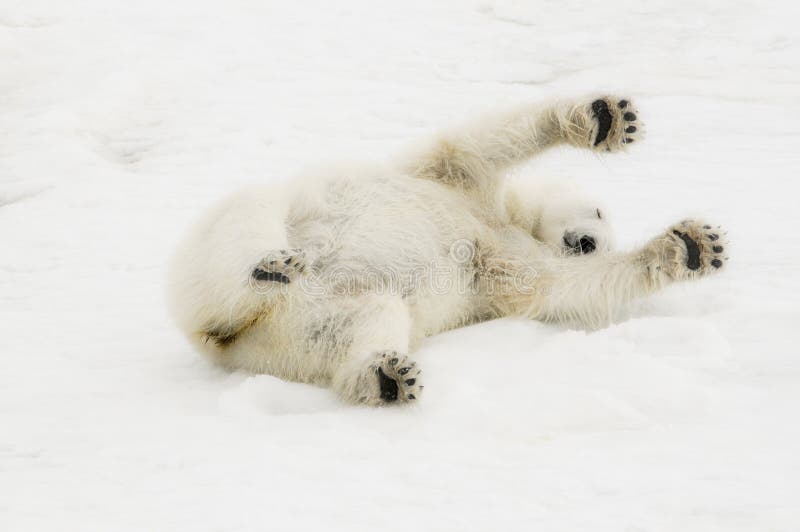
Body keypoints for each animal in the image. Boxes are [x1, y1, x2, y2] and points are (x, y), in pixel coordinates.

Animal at [169, 94, 732, 404]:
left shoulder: (503, 265)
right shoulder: (449, 178)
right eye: (596, 213)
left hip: (289, 336)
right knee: (249, 222)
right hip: (247, 228)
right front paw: (606, 118)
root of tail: (218, 337)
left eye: (602, 240)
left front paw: (691, 248)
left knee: (363, 318)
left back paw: (386, 377)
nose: (589, 241)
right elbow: (478, 142)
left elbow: (558, 287)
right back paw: (268, 267)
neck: (498, 217)